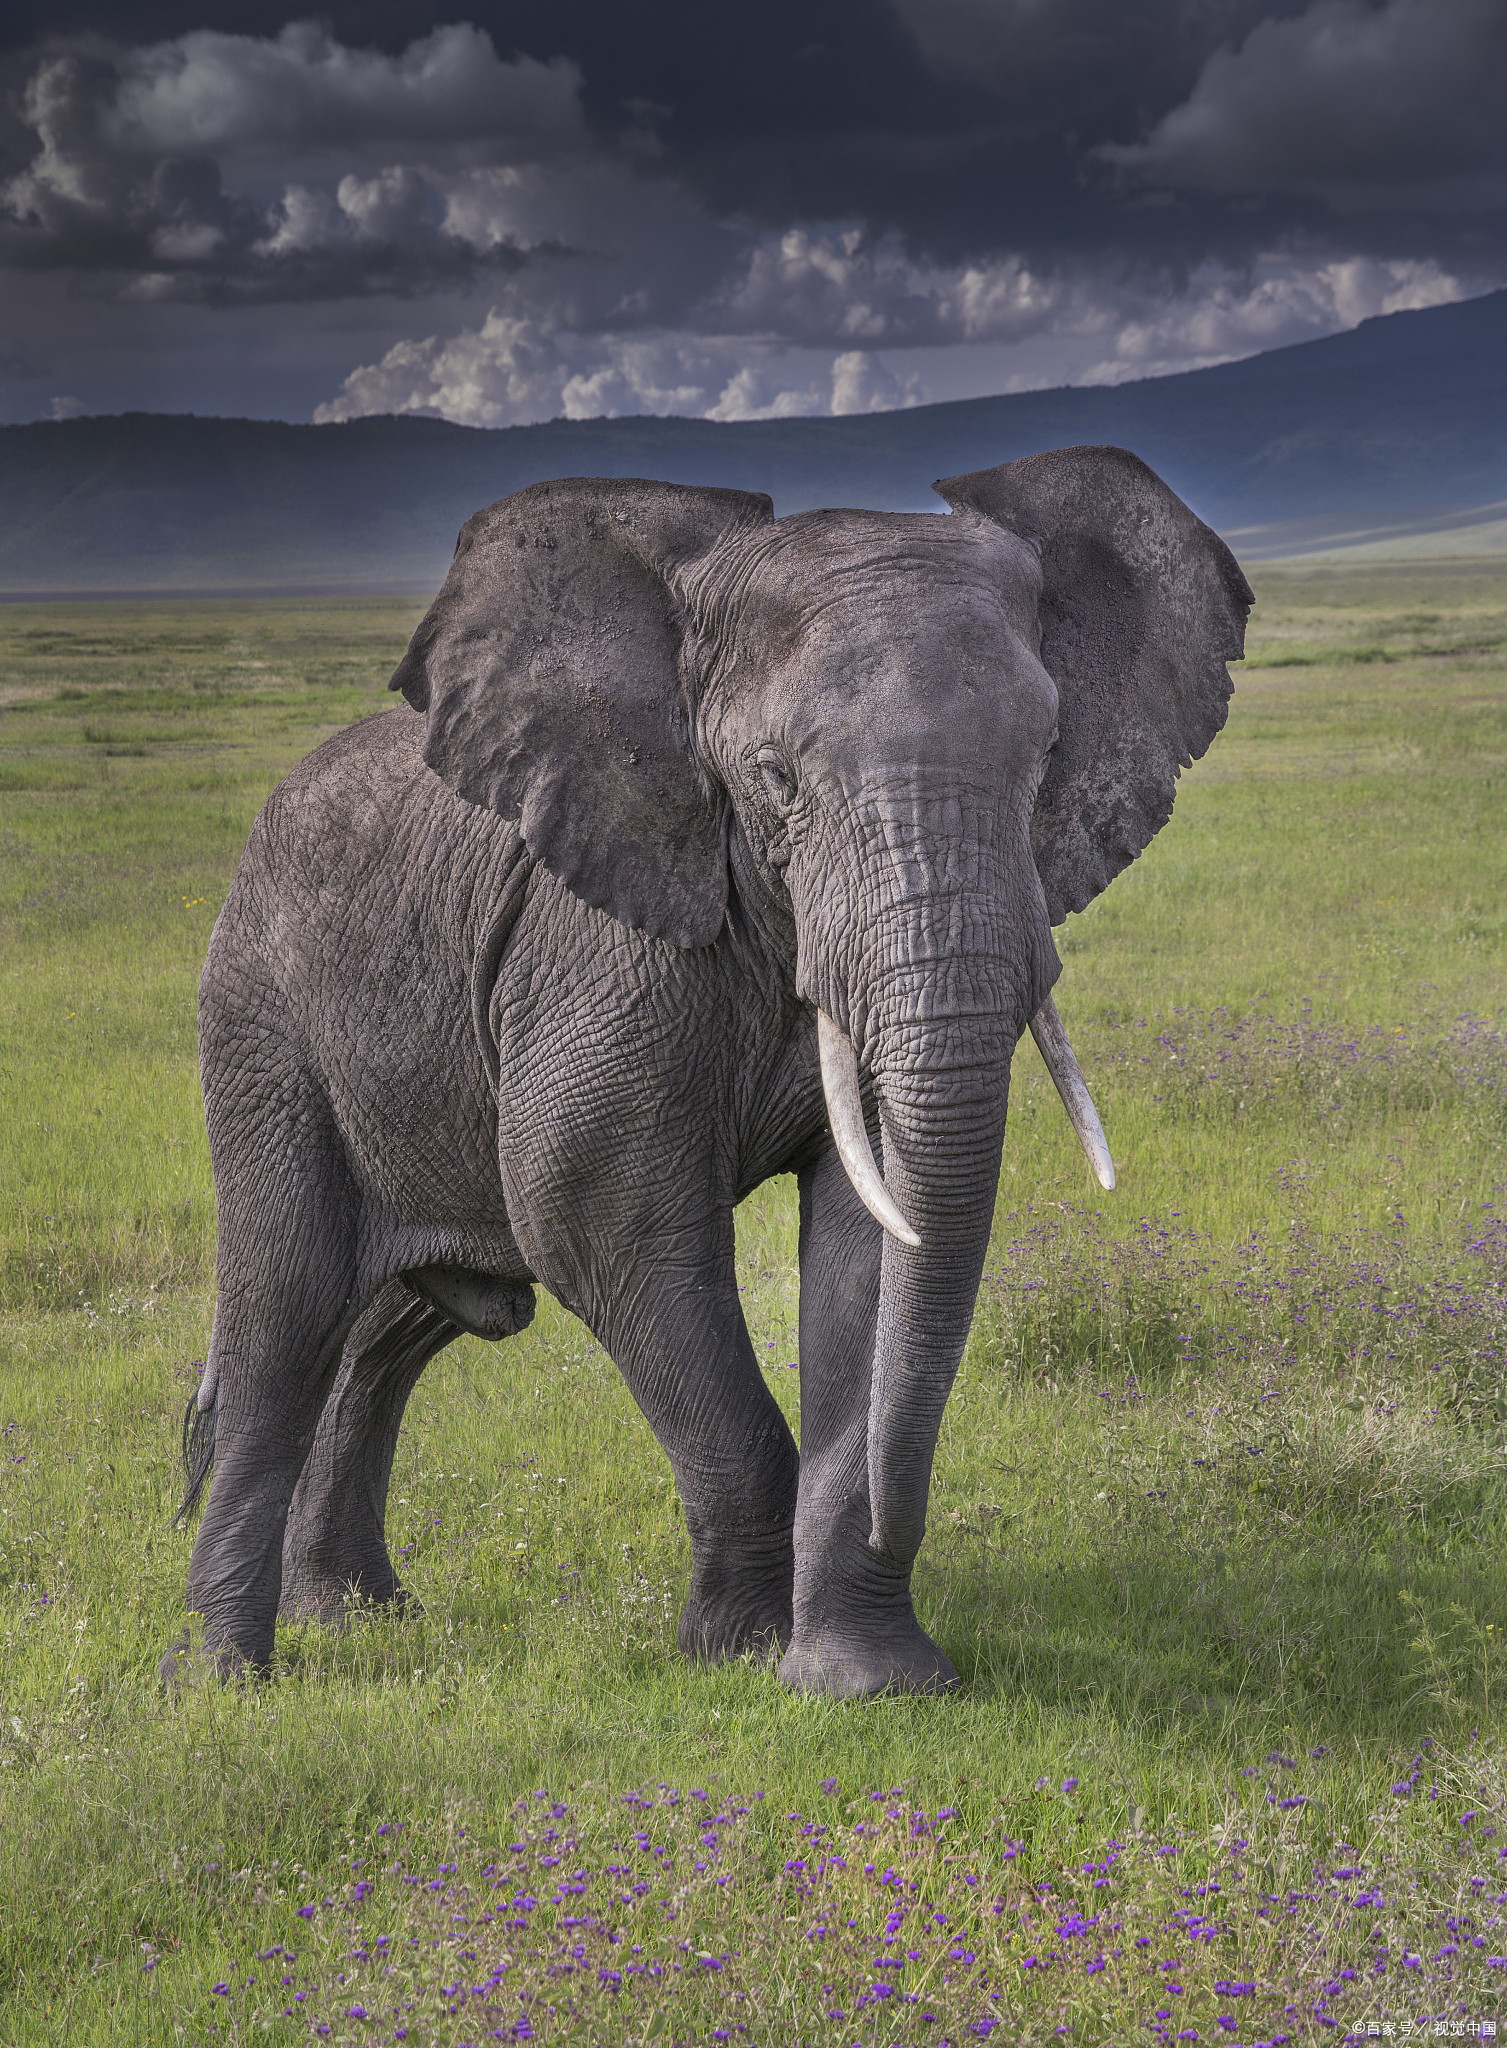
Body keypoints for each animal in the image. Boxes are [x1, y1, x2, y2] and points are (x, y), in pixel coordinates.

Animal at [161, 444, 1244, 1695]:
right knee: (285, 1315)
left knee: (395, 1324)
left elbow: (874, 1230)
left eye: (1046, 760)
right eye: (774, 776)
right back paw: (222, 1678)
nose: (898, 1526)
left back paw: (355, 1615)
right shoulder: (595, 941)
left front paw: (862, 1679)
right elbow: (596, 1208)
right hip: (261, 1019)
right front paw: (739, 1654)